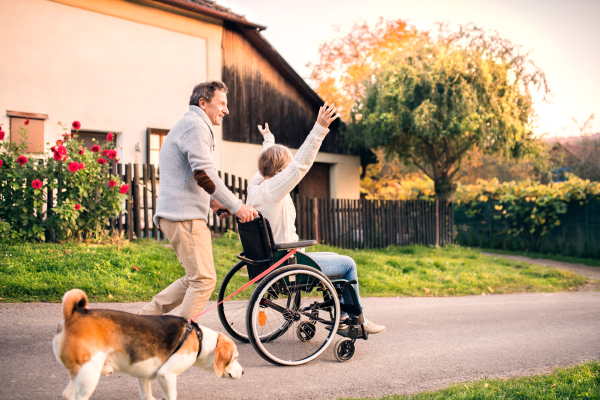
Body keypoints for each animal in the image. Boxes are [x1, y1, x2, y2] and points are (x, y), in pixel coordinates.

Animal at [52, 290, 244, 400]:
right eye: (235, 358)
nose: (243, 372)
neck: (199, 338)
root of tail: (73, 316)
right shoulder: (166, 375)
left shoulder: (142, 372)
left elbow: (146, 394)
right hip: (89, 376)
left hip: (79, 375)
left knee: (67, 394)